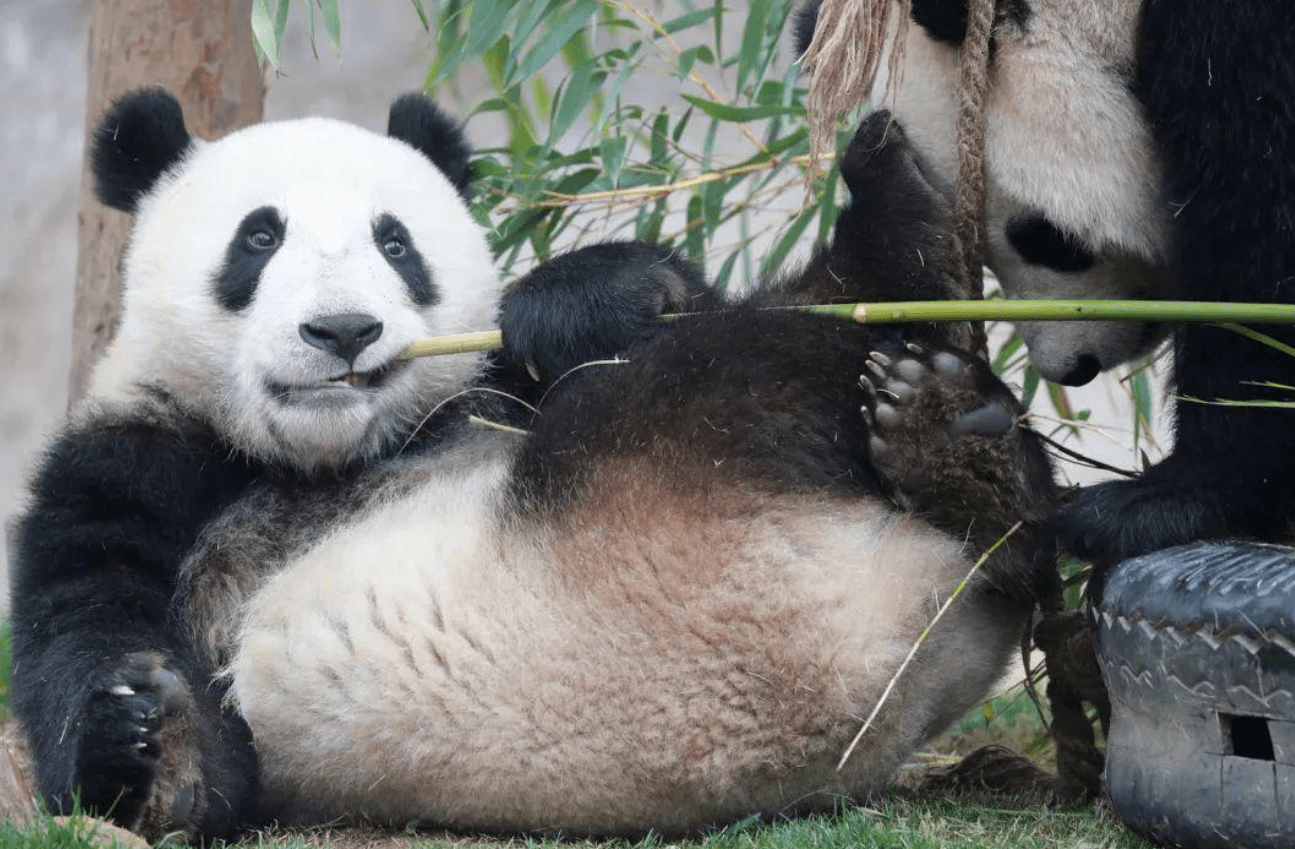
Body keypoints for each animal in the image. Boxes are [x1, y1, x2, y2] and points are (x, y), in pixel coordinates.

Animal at [10, 86, 1056, 843]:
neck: (331, 451)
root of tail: (915, 619)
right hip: (668, 489)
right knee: (769, 349)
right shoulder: (133, 460)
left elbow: (585, 325)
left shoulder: (480, 394)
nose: (344, 330)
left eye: (396, 242)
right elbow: (87, 626)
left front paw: (597, 292)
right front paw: (152, 745)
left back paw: (945, 425)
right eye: (258, 238)